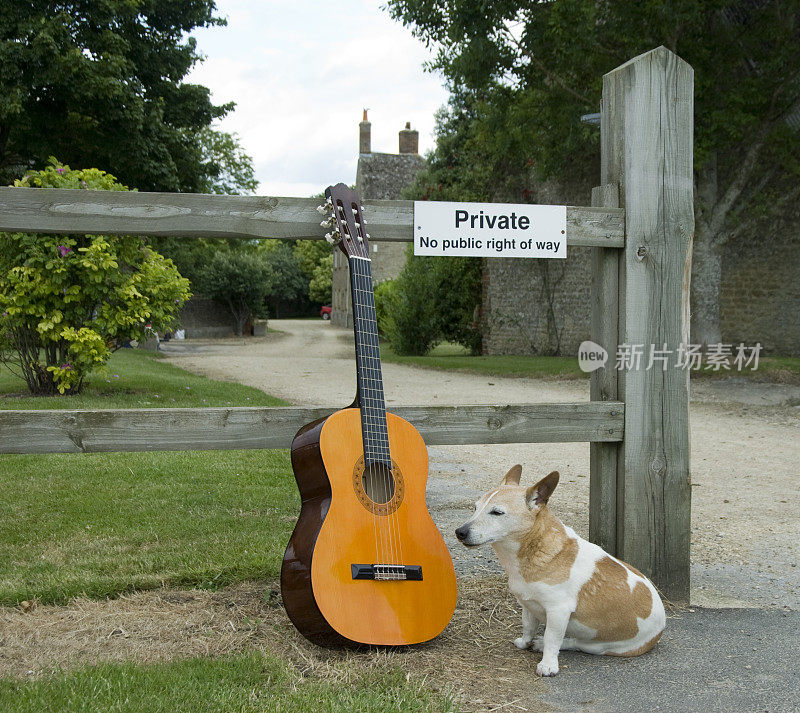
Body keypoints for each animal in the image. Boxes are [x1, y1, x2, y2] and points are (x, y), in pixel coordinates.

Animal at [454, 464, 664, 676]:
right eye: (475, 508)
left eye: (497, 512)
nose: (460, 532)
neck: (532, 549)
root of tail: (661, 627)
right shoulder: (527, 604)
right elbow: (528, 626)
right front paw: (525, 642)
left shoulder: (558, 611)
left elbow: (552, 639)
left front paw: (548, 664)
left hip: (599, 646)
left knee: (575, 643)